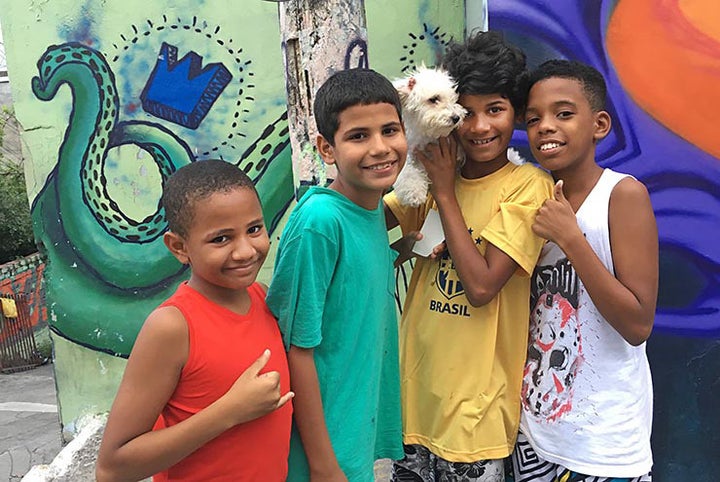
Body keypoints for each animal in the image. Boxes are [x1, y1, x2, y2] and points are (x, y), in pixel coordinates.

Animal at [390, 65, 464, 206]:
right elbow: (408, 172)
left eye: (453, 99)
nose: (456, 117)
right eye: (434, 99)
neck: (426, 136)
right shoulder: (411, 153)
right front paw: (414, 194)